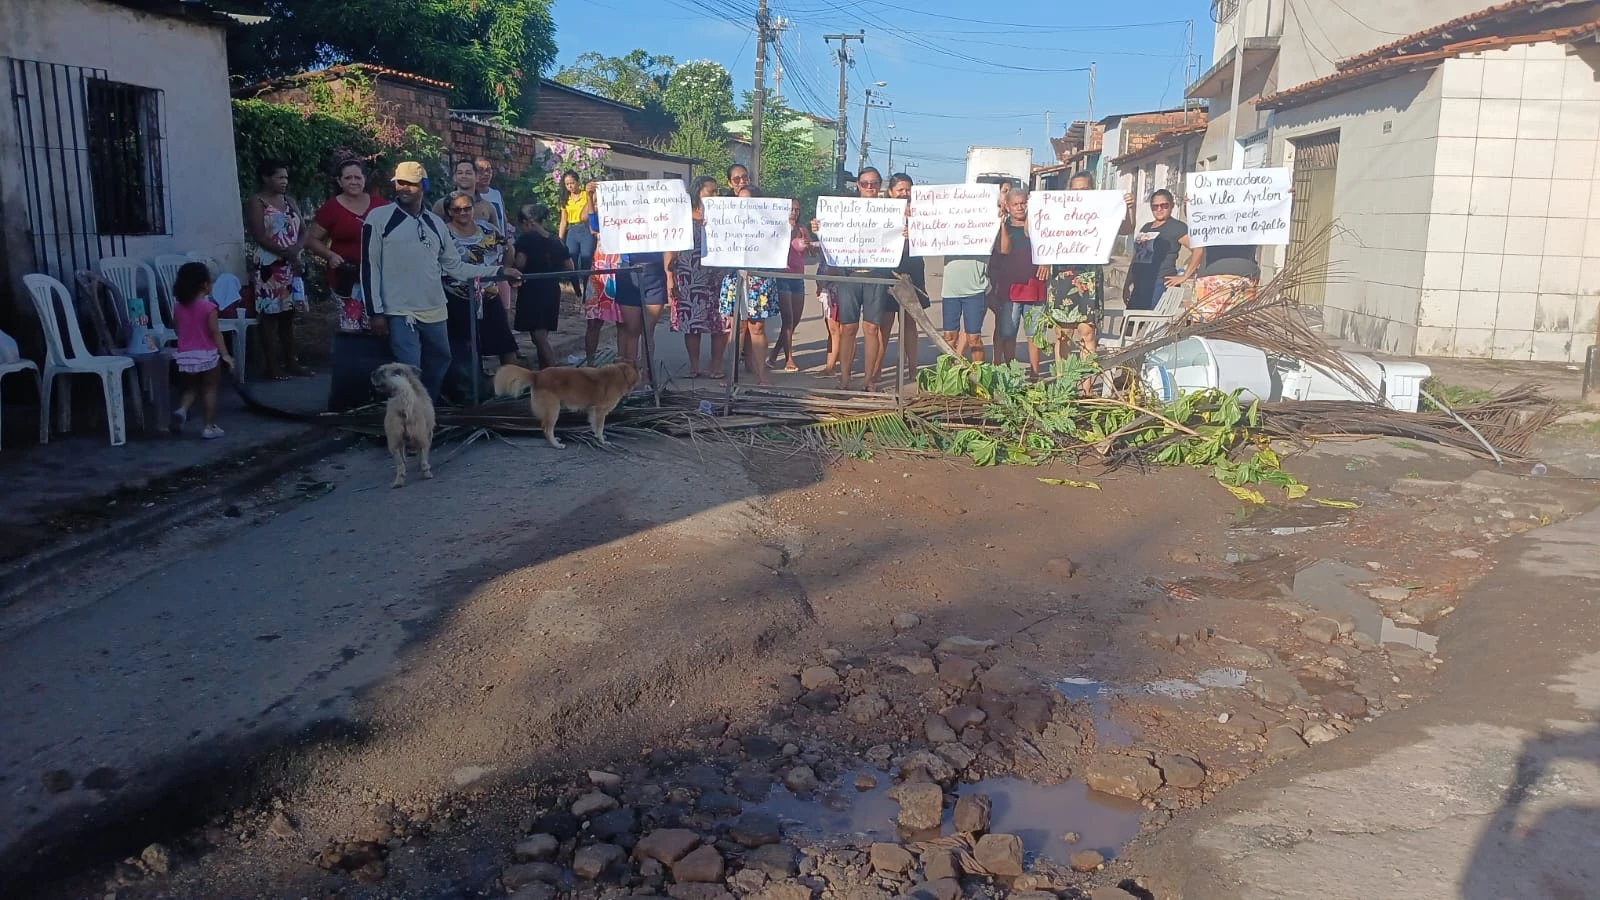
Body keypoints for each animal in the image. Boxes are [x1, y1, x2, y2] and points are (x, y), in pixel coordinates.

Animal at [492, 358, 636, 445]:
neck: (620, 373)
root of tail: (537, 375)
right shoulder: (600, 411)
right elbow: (600, 427)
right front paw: (601, 440)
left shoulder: (593, 410)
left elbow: (594, 425)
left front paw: (596, 436)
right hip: (553, 409)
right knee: (547, 429)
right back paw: (556, 444)